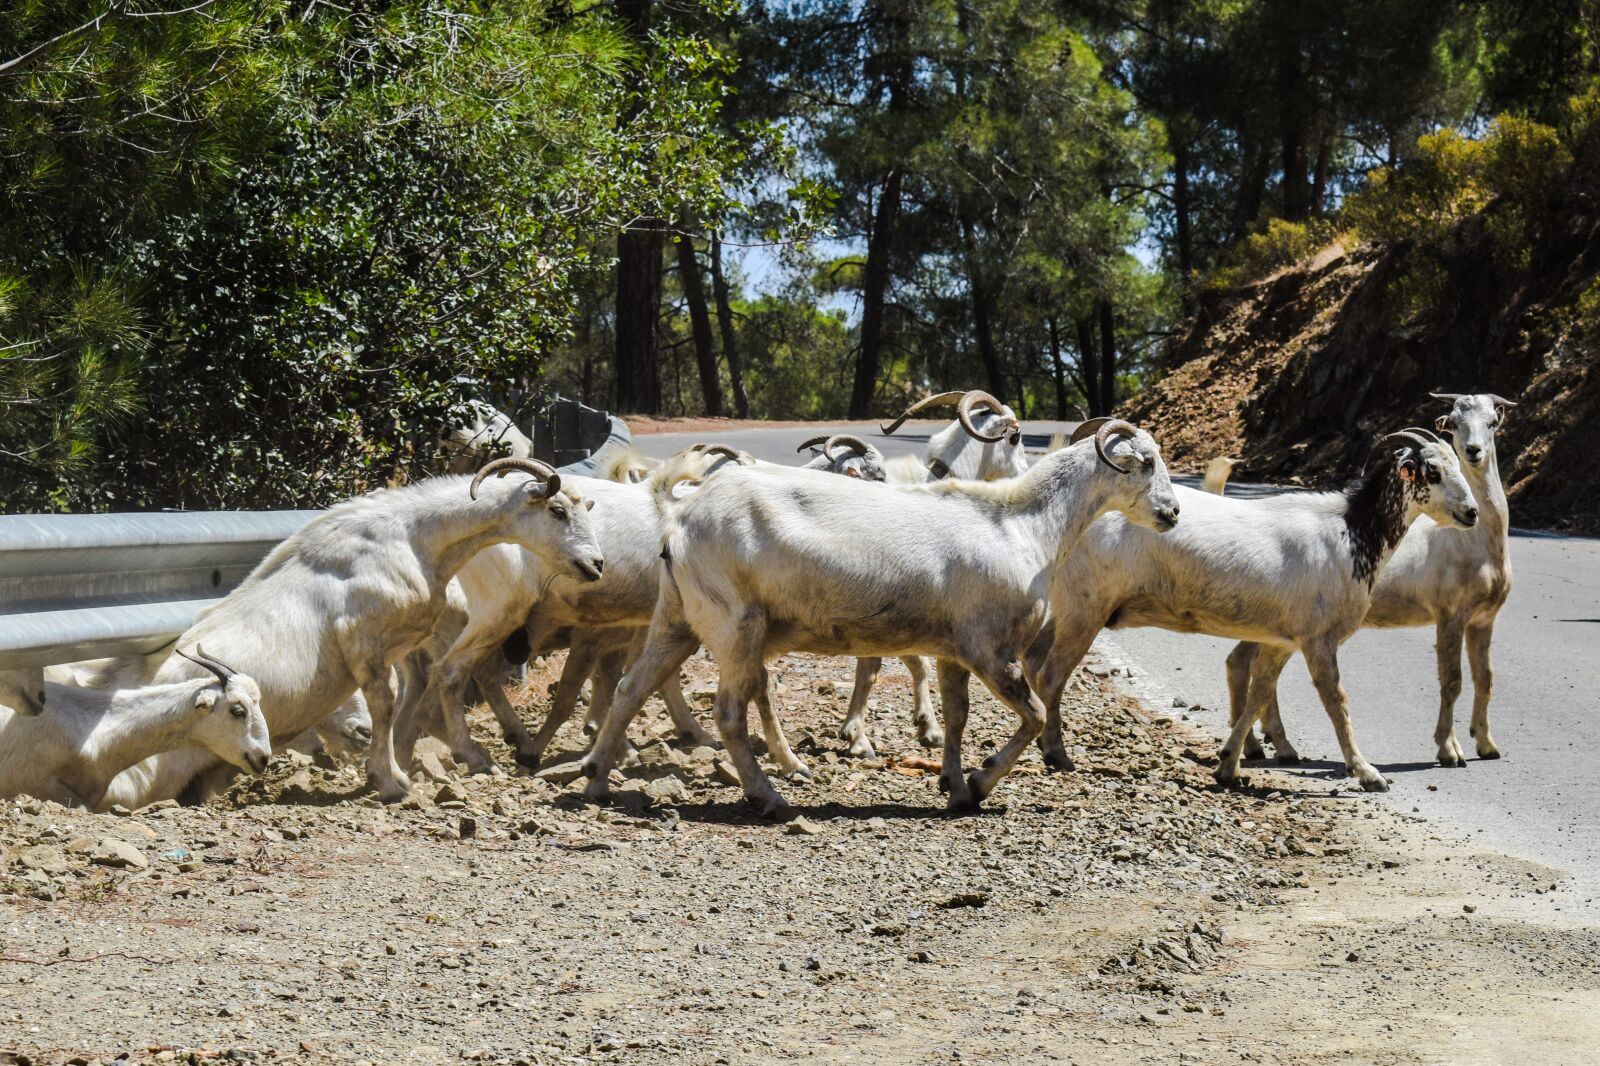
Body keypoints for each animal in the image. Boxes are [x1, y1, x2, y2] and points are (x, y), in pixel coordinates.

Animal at [101, 458, 604, 808]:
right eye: (558, 510)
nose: (596, 564)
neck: (415, 537)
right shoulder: (362, 641)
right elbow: (387, 703)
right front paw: (391, 780)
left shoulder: (401, 645)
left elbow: (412, 696)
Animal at [581, 420, 1179, 816]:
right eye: (1146, 462)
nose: (1172, 514)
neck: (1023, 525)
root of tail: (678, 516)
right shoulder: (991, 649)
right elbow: (1032, 716)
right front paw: (981, 783)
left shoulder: (955, 649)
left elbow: (957, 717)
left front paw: (953, 784)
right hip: (734, 624)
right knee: (728, 710)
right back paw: (768, 794)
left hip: (679, 616)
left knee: (632, 687)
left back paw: (596, 781)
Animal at [1024, 428, 1478, 793]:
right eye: (1432, 473)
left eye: (1458, 465)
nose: (1471, 513)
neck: (1351, 534)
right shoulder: (1318, 638)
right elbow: (1337, 701)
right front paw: (1368, 773)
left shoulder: (1284, 639)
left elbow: (1259, 693)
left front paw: (1229, 764)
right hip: (1085, 607)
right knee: (1051, 674)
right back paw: (1057, 755)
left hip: (1064, 607)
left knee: (1033, 660)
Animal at [1224, 394, 1517, 768]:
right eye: (1453, 422)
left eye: (1493, 422)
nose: (1474, 451)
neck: (1472, 545)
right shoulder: (1449, 615)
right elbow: (1452, 681)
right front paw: (1449, 750)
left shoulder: (1483, 619)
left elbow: (1485, 678)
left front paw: (1487, 744)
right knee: (1244, 664)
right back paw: (1269, 747)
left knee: (1242, 663)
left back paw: (1264, 746)